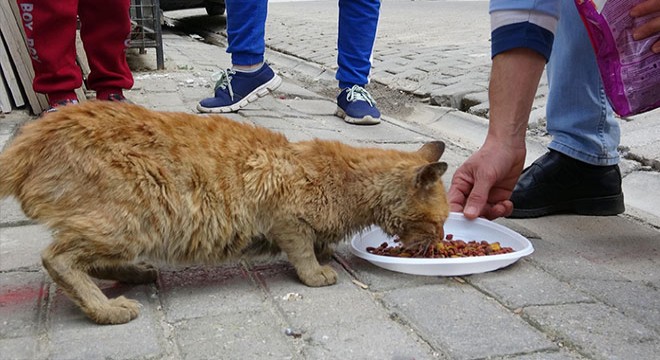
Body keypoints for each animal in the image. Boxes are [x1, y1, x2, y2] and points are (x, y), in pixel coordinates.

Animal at [0, 100, 448, 324]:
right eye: (440, 222)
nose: (441, 241)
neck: (348, 182)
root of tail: (34, 135)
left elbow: (319, 243)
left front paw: (326, 253)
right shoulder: (287, 220)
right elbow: (303, 252)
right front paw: (317, 271)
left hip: (126, 229)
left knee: (90, 259)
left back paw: (136, 274)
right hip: (132, 219)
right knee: (59, 258)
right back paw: (107, 310)